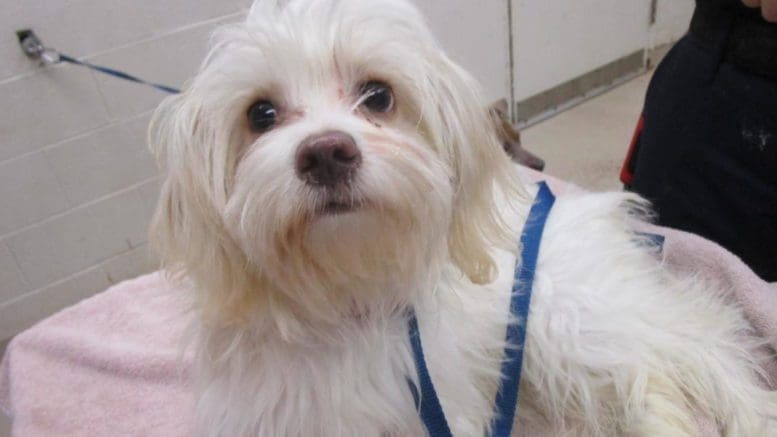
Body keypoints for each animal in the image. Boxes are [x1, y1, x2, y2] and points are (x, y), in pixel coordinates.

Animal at [150, 0, 776, 432]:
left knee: (687, 348)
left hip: (567, 317)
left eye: (378, 96)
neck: (345, 299)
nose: (326, 152)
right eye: (260, 114)